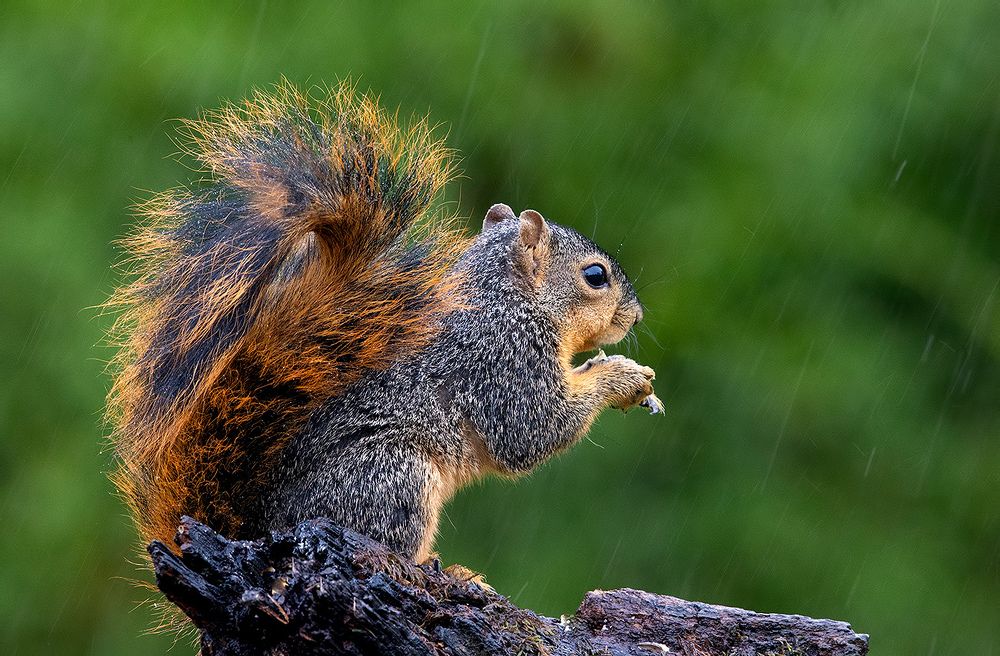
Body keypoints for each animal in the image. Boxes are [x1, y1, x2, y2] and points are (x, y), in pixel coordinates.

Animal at [107, 81, 662, 564]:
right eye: (595, 276)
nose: (636, 316)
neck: (507, 297)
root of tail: (258, 531)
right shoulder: (501, 358)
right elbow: (533, 430)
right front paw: (620, 376)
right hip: (394, 475)